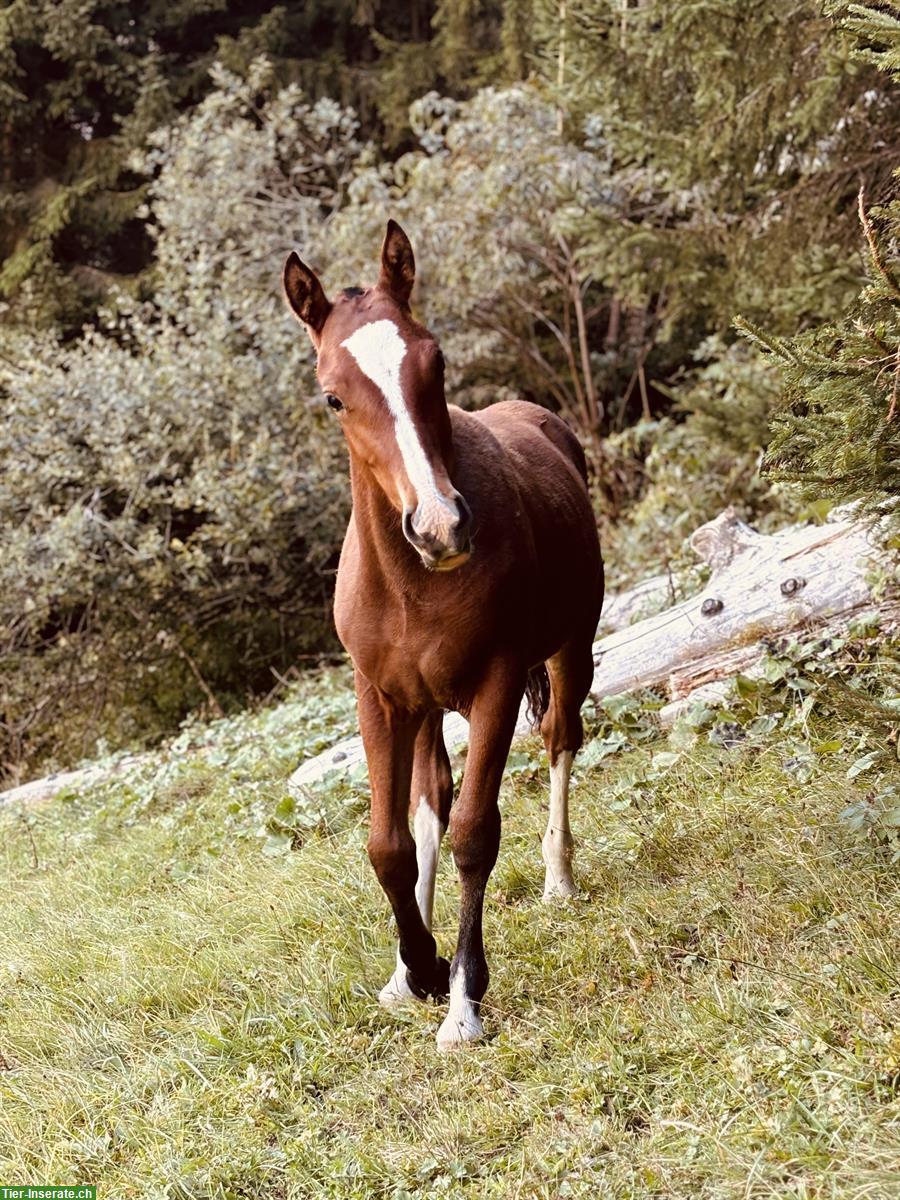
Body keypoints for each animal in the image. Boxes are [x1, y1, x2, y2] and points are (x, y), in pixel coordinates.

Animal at [285, 225, 602, 1051]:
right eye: (333, 395)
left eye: (437, 362)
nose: (440, 527)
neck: (411, 586)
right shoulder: (379, 698)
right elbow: (391, 843)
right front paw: (416, 968)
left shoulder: (497, 683)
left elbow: (473, 834)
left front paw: (463, 999)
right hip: (425, 706)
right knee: (430, 797)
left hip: (570, 652)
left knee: (560, 739)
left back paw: (559, 878)